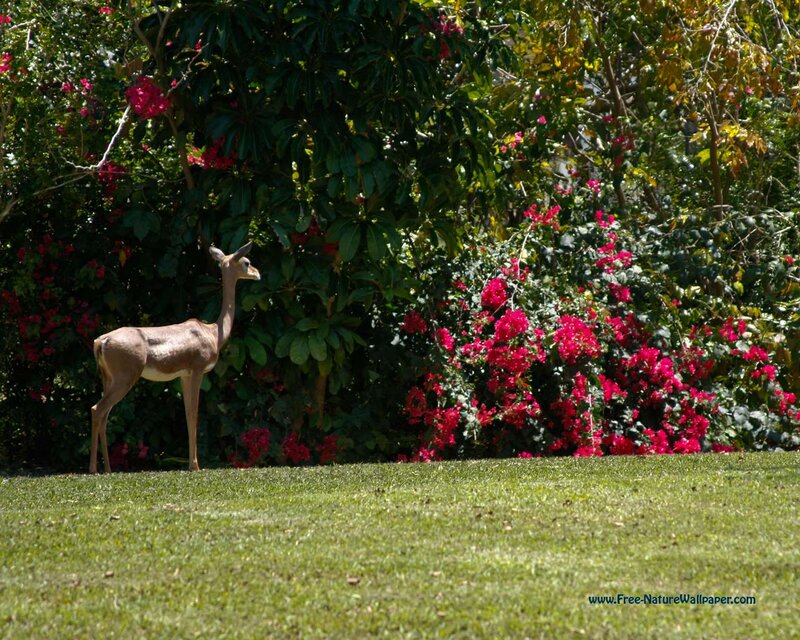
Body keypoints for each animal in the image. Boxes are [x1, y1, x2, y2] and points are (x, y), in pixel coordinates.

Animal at [89, 242, 260, 473]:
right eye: (247, 262)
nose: (257, 274)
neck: (214, 333)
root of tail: (101, 341)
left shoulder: (183, 375)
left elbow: (187, 413)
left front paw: (191, 464)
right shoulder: (197, 370)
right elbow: (194, 413)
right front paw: (195, 466)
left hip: (108, 379)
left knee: (105, 414)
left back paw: (107, 469)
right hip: (125, 378)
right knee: (97, 409)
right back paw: (93, 469)